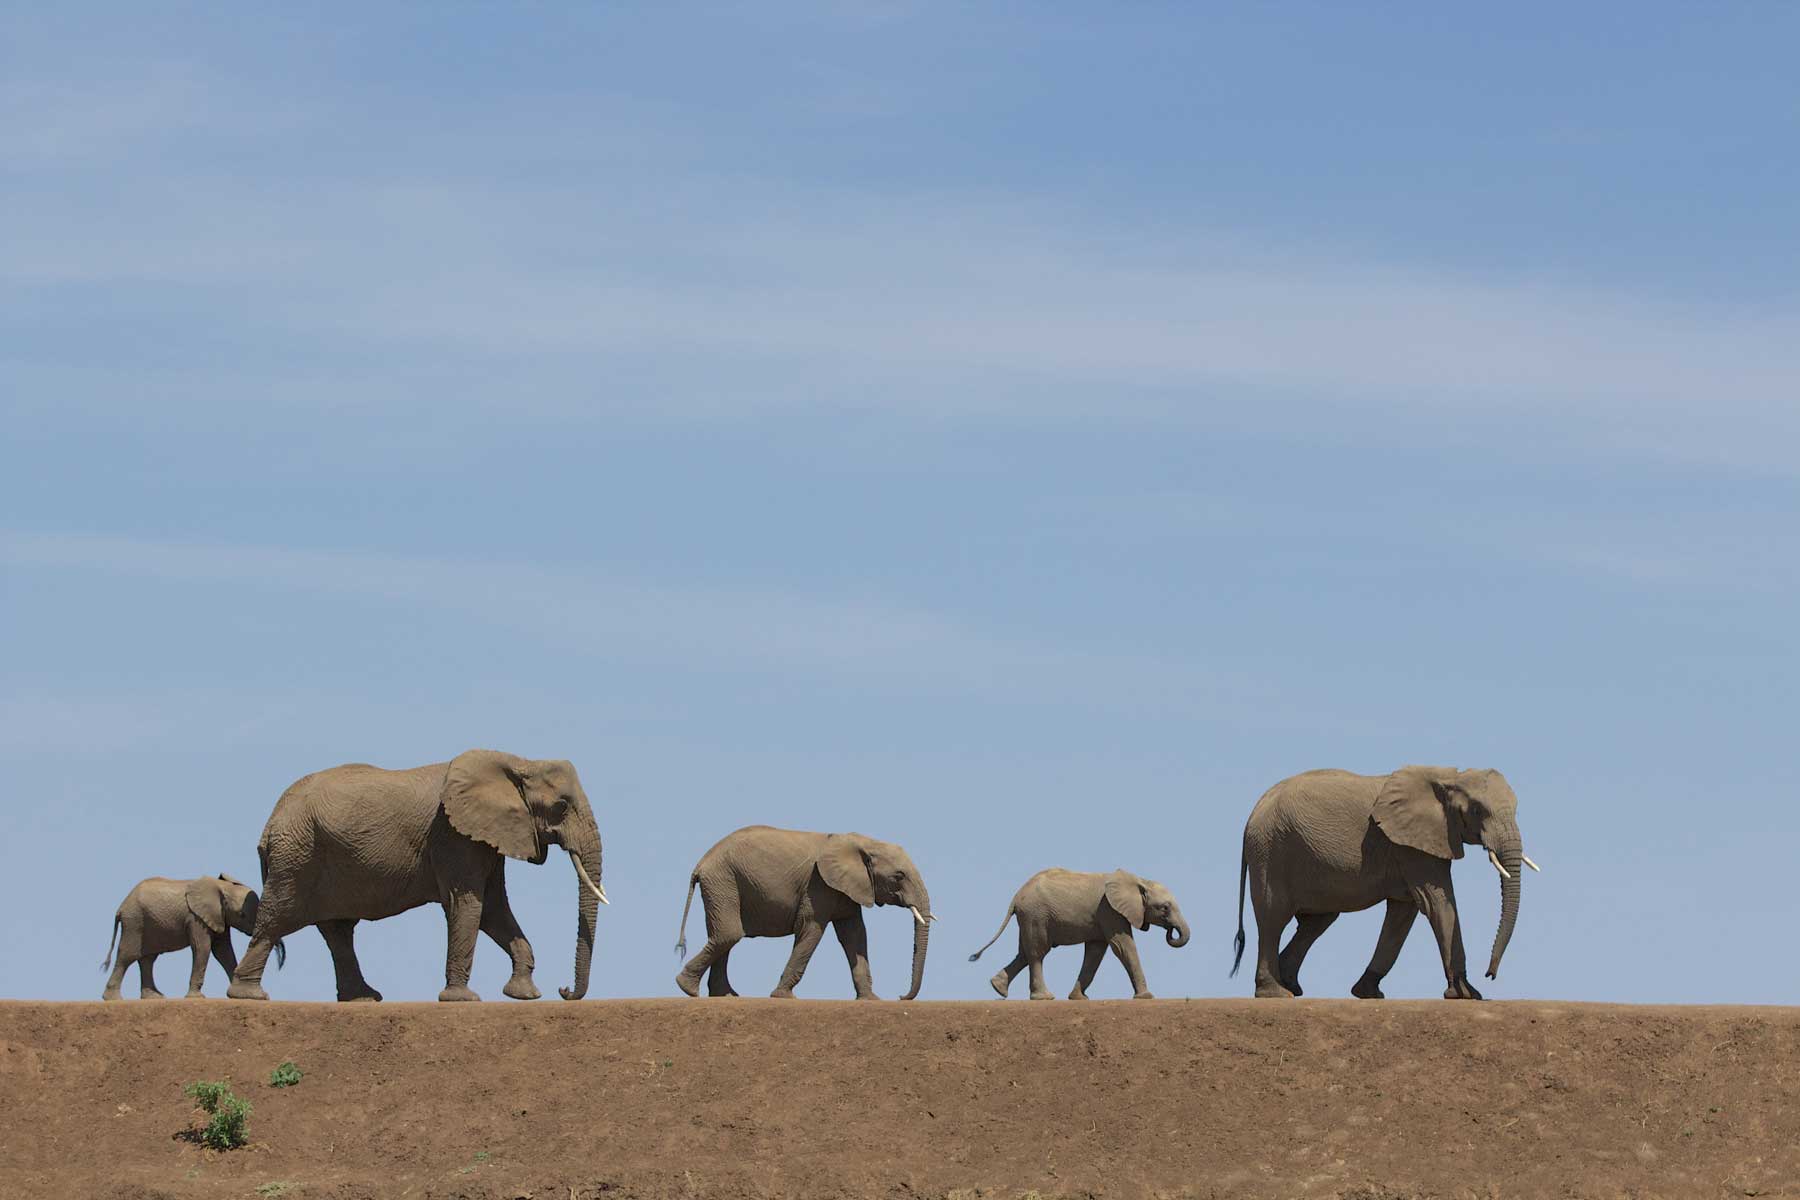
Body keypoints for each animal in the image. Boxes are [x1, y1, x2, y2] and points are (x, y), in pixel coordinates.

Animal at [101, 874, 285, 1000]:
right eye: (242, 915)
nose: (280, 964)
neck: (221, 886)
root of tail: (121, 908)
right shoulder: (196, 918)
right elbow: (203, 948)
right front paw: (197, 998)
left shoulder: (219, 917)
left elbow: (223, 951)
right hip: (135, 922)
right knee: (128, 956)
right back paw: (114, 999)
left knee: (147, 959)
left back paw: (154, 997)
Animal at [227, 749, 606, 1003]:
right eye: (561, 806)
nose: (564, 990)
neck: (517, 762)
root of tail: (271, 822)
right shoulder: (453, 836)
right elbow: (468, 905)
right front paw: (462, 999)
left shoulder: (486, 837)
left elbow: (494, 909)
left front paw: (523, 994)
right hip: (296, 856)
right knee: (276, 919)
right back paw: (248, 995)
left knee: (338, 931)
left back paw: (364, 998)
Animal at [673, 826, 935, 1000]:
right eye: (899, 876)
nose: (900, 996)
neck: (862, 842)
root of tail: (701, 863)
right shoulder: (818, 884)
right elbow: (811, 929)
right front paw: (783, 997)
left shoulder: (847, 888)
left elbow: (855, 934)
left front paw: (871, 1000)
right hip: (723, 880)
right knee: (729, 934)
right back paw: (687, 988)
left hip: (724, 883)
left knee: (725, 936)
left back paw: (723, 995)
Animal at [968, 868, 1190, 1000]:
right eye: (1165, 908)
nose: (1171, 931)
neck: (1139, 880)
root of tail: (1015, 896)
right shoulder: (1110, 911)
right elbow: (1122, 946)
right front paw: (1146, 997)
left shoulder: (1103, 917)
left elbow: (1095, 952)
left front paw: (1078, 998)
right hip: (1035, 915)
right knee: (1038, 952)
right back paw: (1044, 997)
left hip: (1030, 917)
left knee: (1024, 953)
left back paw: (998, 988)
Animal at [1232, 765, 1538, 1000]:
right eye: (1477, 810)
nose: (1490, 974)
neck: (1448, 777)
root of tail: (1251, 815)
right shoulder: (1412, 846)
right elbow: (1438, 903)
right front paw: (1467, 995)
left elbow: (1403, 913)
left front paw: (1367, 993)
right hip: (1271, 852)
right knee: (1273, 918)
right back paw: (1275, 993)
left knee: (1315, 923)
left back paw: (1292, 987)